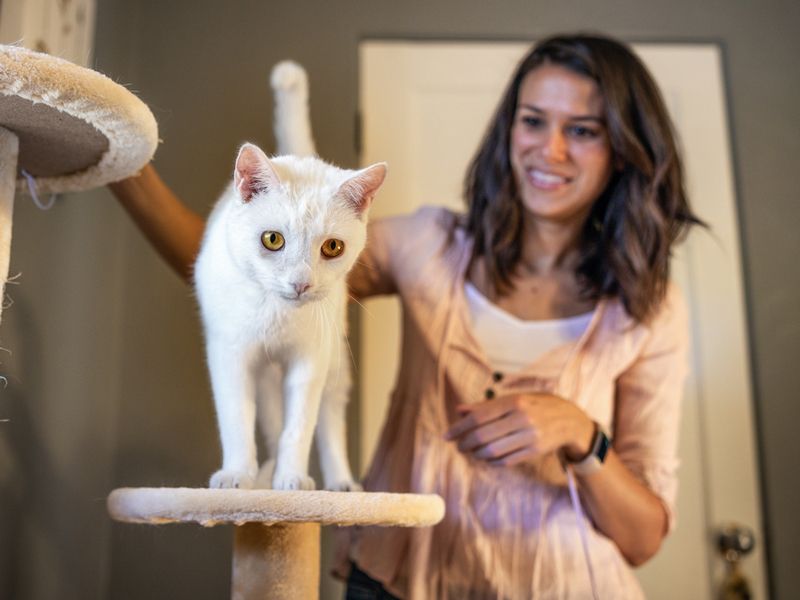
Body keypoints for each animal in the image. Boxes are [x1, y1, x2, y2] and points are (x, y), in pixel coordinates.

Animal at [191, 62, 384, 492]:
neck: (276, 316)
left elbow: (300, 426)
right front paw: (238, 476)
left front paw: (292, 480)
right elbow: (236, 419)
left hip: (335, 359)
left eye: (333, 247)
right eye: (273, 239)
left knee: (328, 420)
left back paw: (339, 483)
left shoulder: (309, 361)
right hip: (266, 378)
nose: (301, 283)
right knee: (269, 419)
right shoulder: (230, 354)